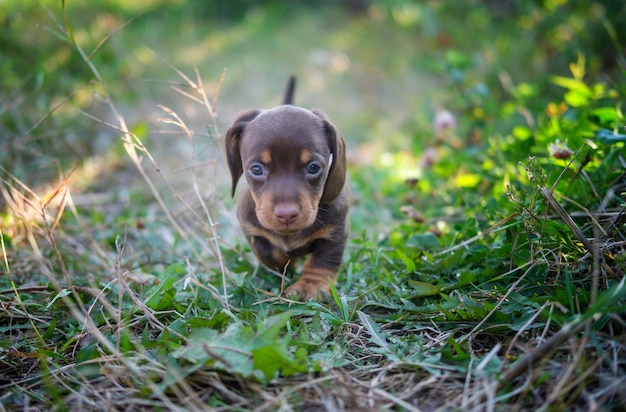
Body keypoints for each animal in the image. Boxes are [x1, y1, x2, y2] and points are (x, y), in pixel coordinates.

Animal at [224, 80, 348, 300]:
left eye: (313, 167)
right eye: (257, 169)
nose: (287, 214)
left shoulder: (335, 232)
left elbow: (323, 260)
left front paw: (310, 286)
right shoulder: (252, 230)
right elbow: (269, 252)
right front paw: (285, 263)